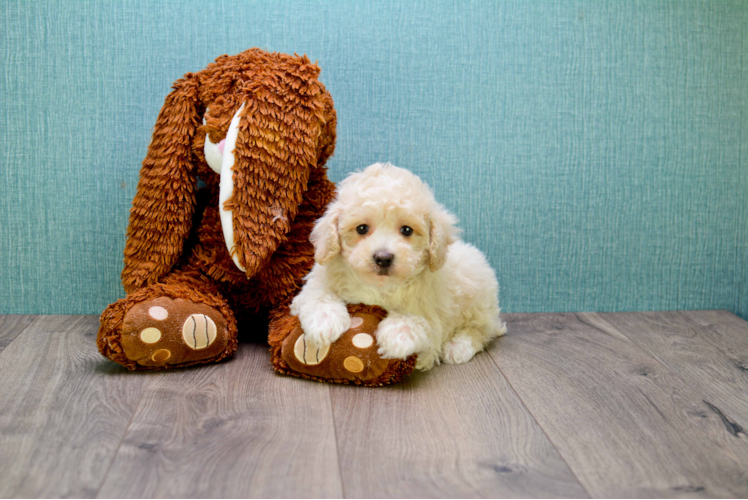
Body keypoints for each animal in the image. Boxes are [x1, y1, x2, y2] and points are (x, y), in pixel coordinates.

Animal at [290, 162, 506, 370]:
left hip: (477, 297)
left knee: (480, 330)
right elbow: (317, 295)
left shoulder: (431, 318)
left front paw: (396, 337)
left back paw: (458, 346)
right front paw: (324, 322)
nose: (383, 258)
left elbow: (419, 322)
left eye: (407, 230)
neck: (378, 286)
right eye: (361, 228)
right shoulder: (316, 284)